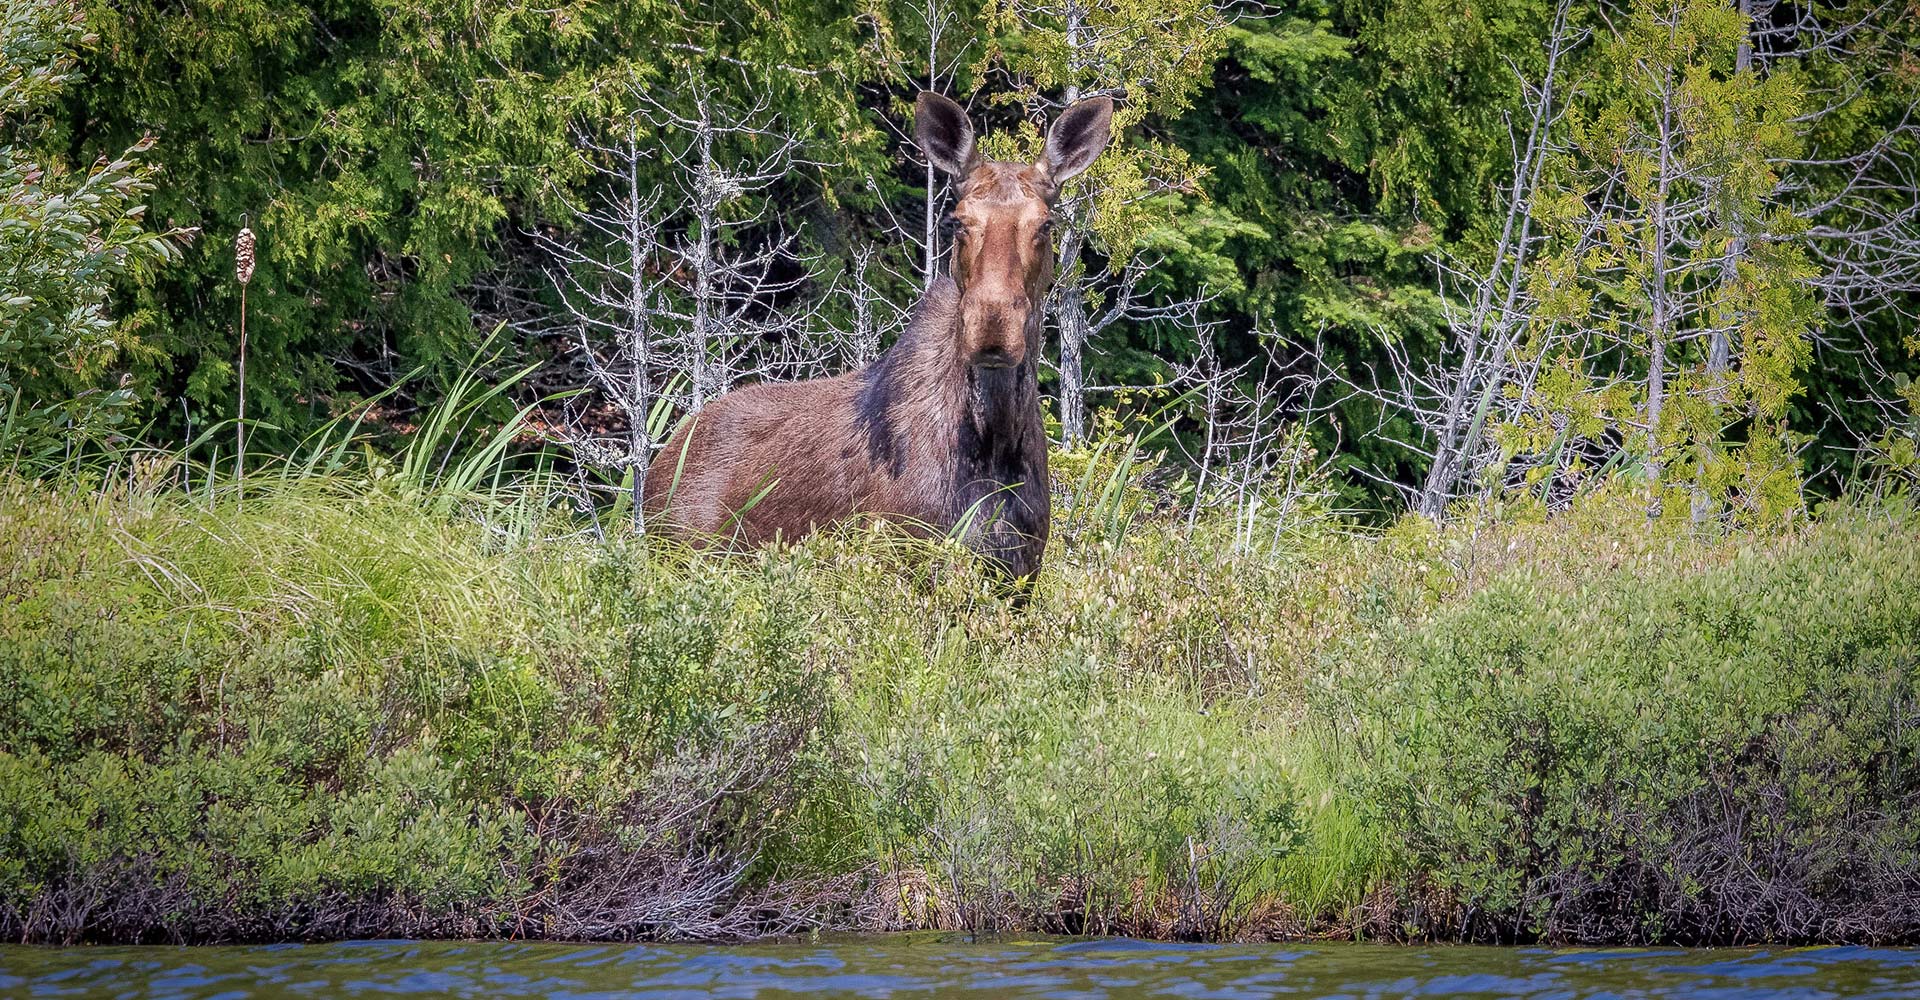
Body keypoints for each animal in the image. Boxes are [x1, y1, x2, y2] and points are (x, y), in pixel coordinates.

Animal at [643, 91, 1115, 582]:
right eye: (957, 221)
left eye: (1045, 225)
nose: (991, 326)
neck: (996, 439)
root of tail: (657, 469)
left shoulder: (1019, 572)